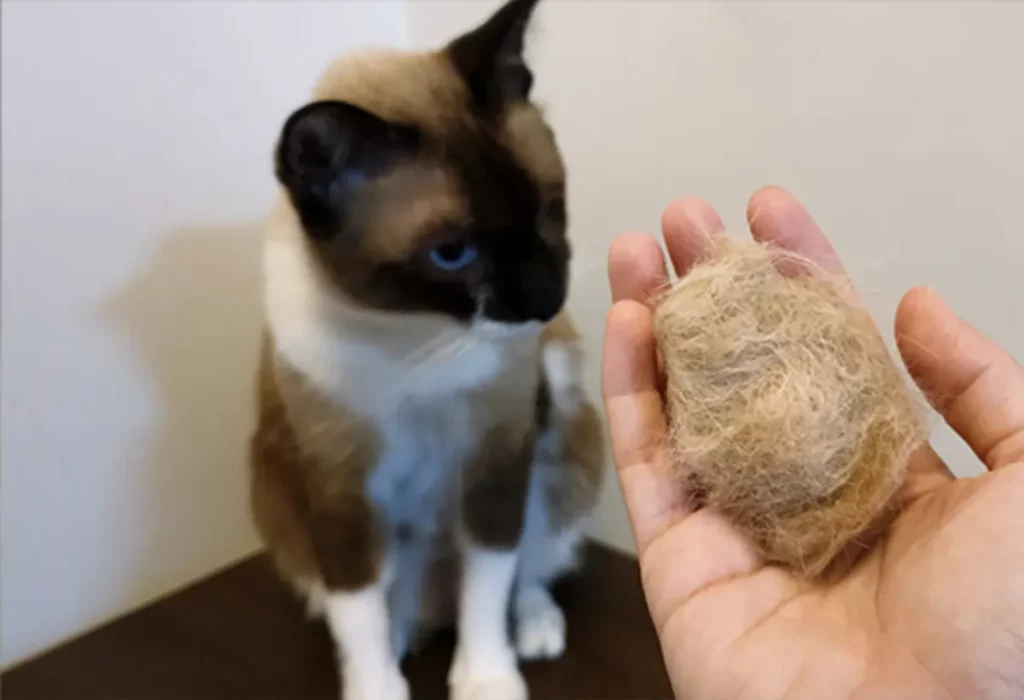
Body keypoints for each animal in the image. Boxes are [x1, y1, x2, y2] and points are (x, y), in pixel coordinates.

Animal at [248, 2, 602, 695]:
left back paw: (535, 629)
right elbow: (357, 613)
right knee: (384, 606)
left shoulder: (500, 455)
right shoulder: (338, 488)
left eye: (547, 209)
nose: (545, 302)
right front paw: (376, 689)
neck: (412, 336)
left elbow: (489, 582)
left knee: (526, 568)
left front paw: (487, 679)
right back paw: (405, 638)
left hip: (561, 424)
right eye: (452, 253)